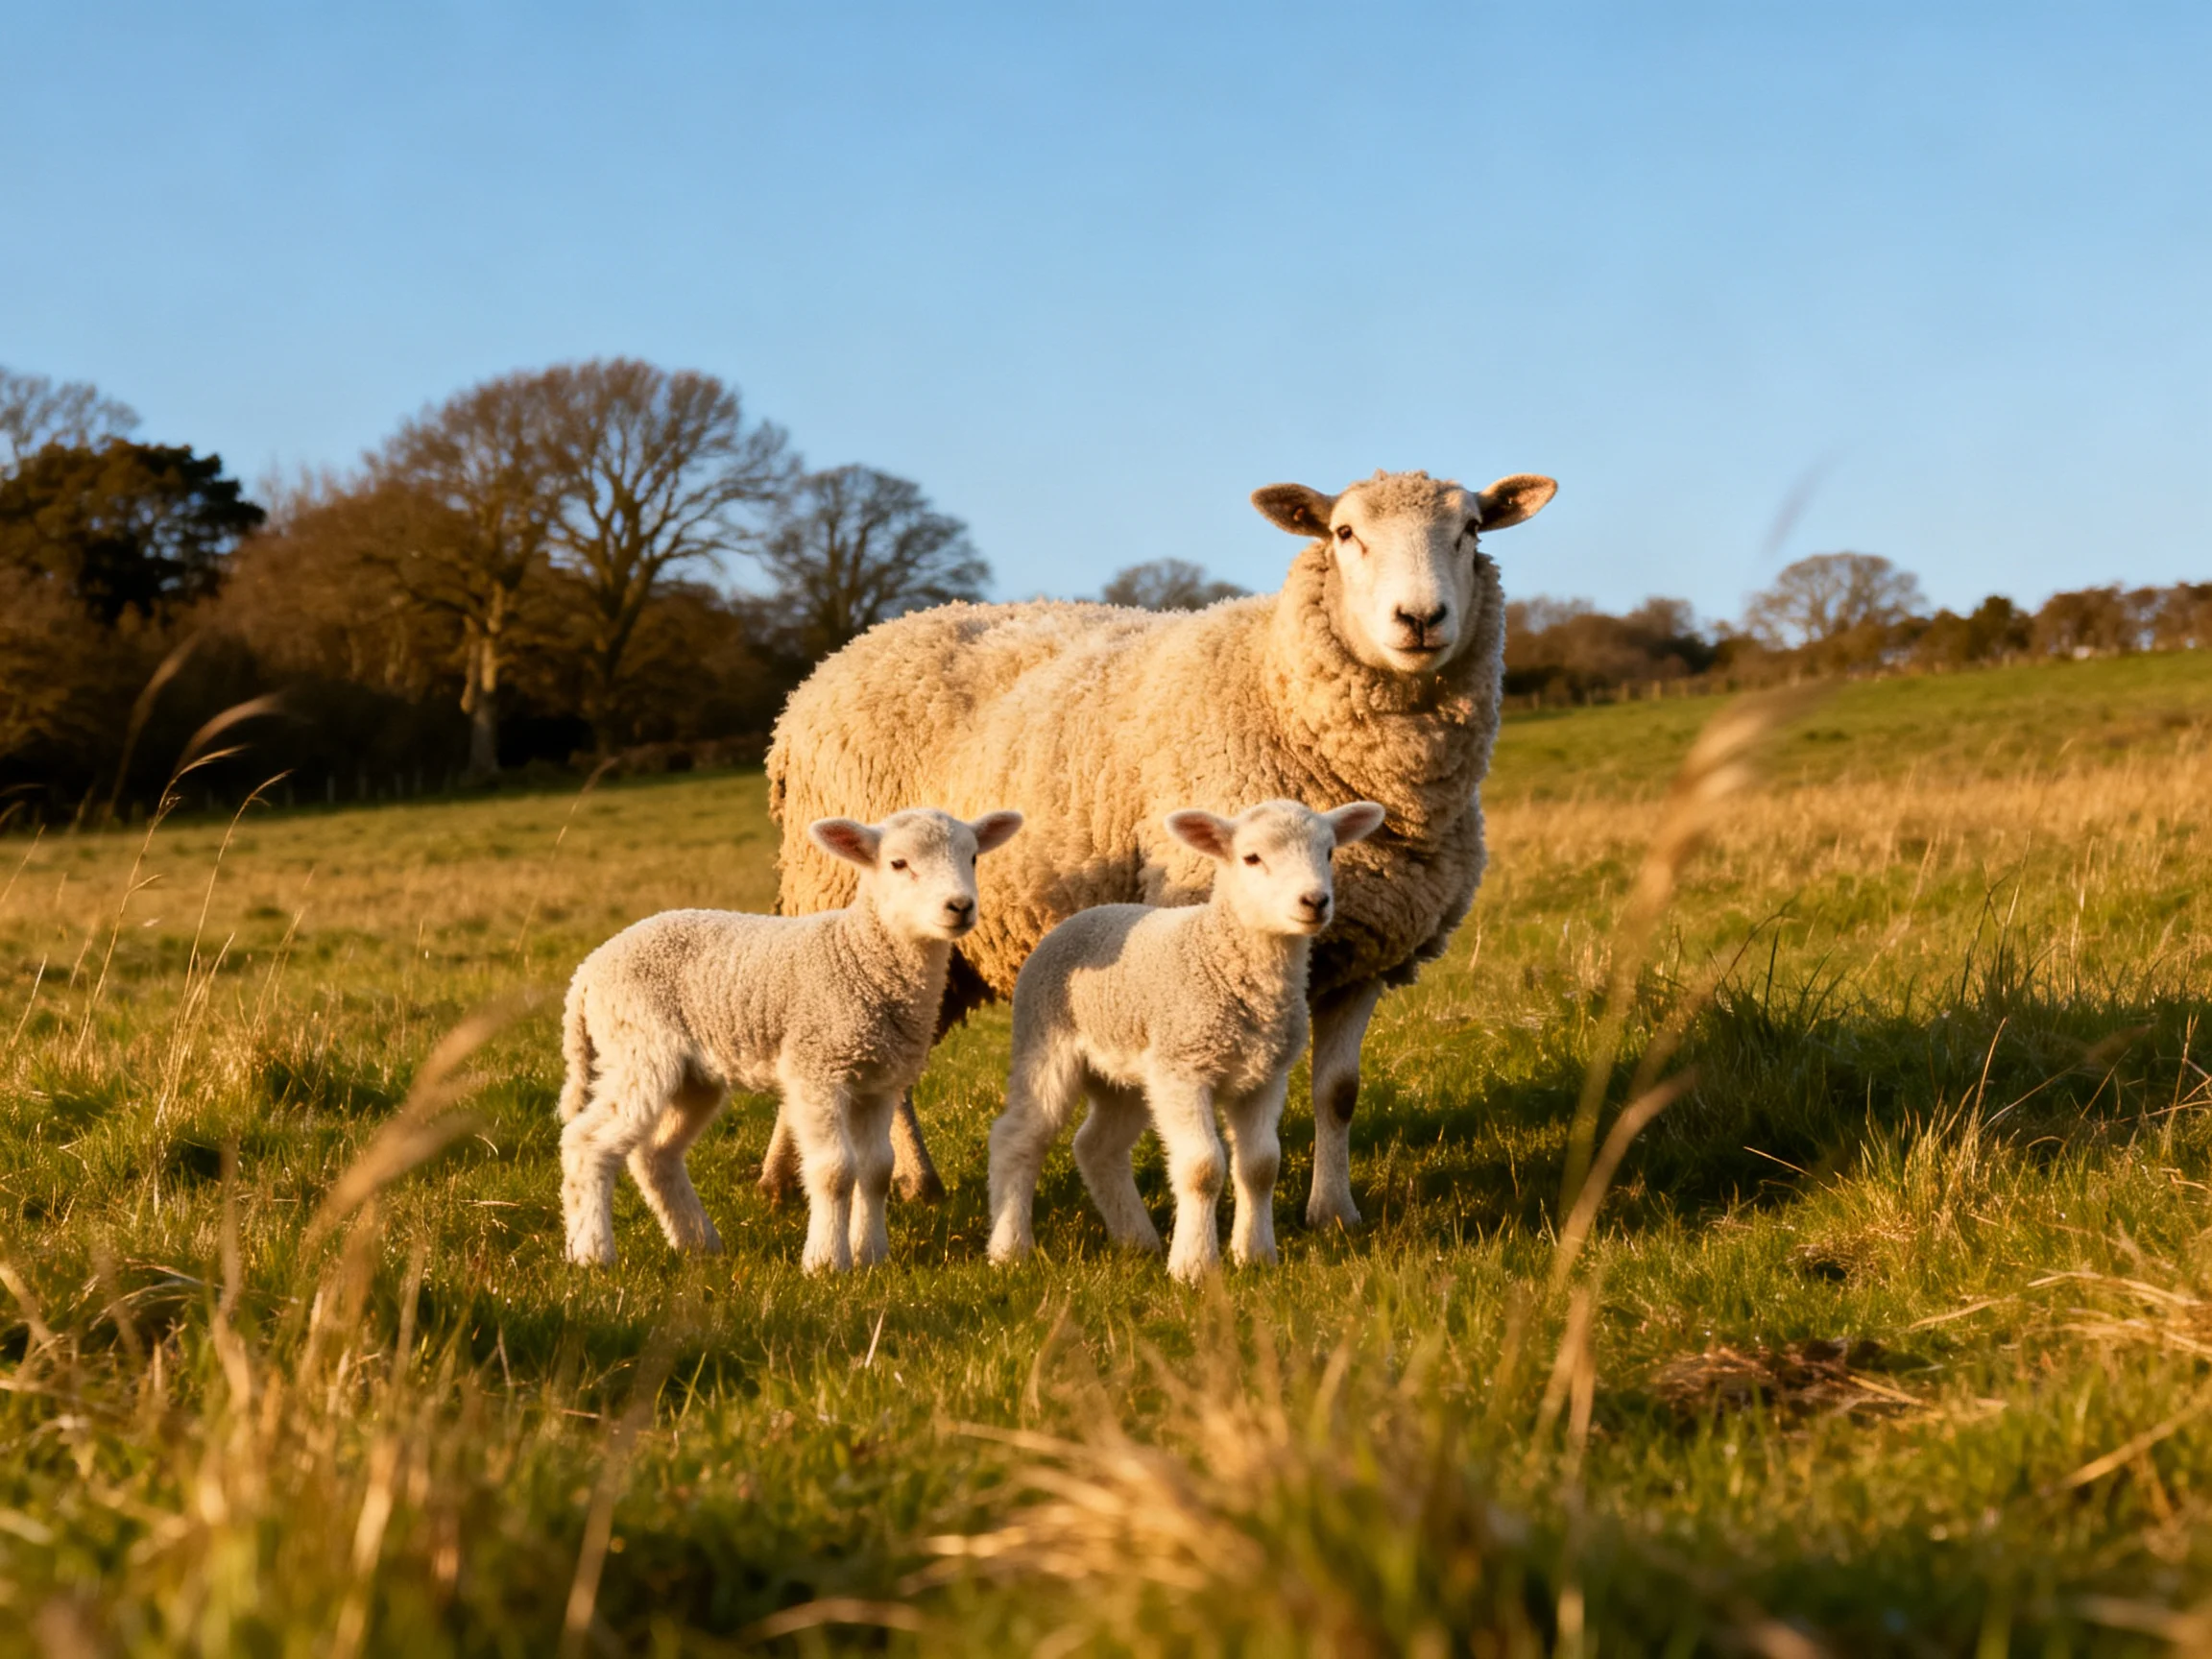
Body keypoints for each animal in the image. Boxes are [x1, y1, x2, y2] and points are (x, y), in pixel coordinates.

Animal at [557, 806, 1023, 1272]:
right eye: (898, 863)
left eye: (974, 857)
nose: (960, 906)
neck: (860, 956)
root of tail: (587, 971)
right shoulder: (816, 1069)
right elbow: (835, 1170)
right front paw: (826, 1263)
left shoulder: (878, 1081)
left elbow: (876, 1169)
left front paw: (872, 1256)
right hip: (638, 1048)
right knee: (587, 1143)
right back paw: (592, 1254)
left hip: (691, 1076)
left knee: (655, 1155)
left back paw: (698, 1245)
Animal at [763, 467, 1556, 1229]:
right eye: (1344, 532)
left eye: (1471, 528)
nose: (1420, 619)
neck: (1276, 682)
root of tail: (832, 664)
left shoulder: (1365, 947)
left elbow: (1339, 1093)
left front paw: (1334, 1213)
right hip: (846, 903)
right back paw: (864, 1178)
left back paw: (836, 1178)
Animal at [986, 799, 1386, 1283]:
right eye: (1251, 858)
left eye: (1328, 852)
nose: (1315, 901)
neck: (1222, 960)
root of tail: (1085, 915)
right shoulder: (1185, 1069)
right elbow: (1202, 1168)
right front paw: (1194, 1266)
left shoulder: (1264, 1077)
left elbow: (1260, 1166)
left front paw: (1255, 1255)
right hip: (1045, 1045)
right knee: (1017, 1138)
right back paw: (1009, 1249)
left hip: (1131, 1074)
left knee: (1096, 1146)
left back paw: (1137, 1240)